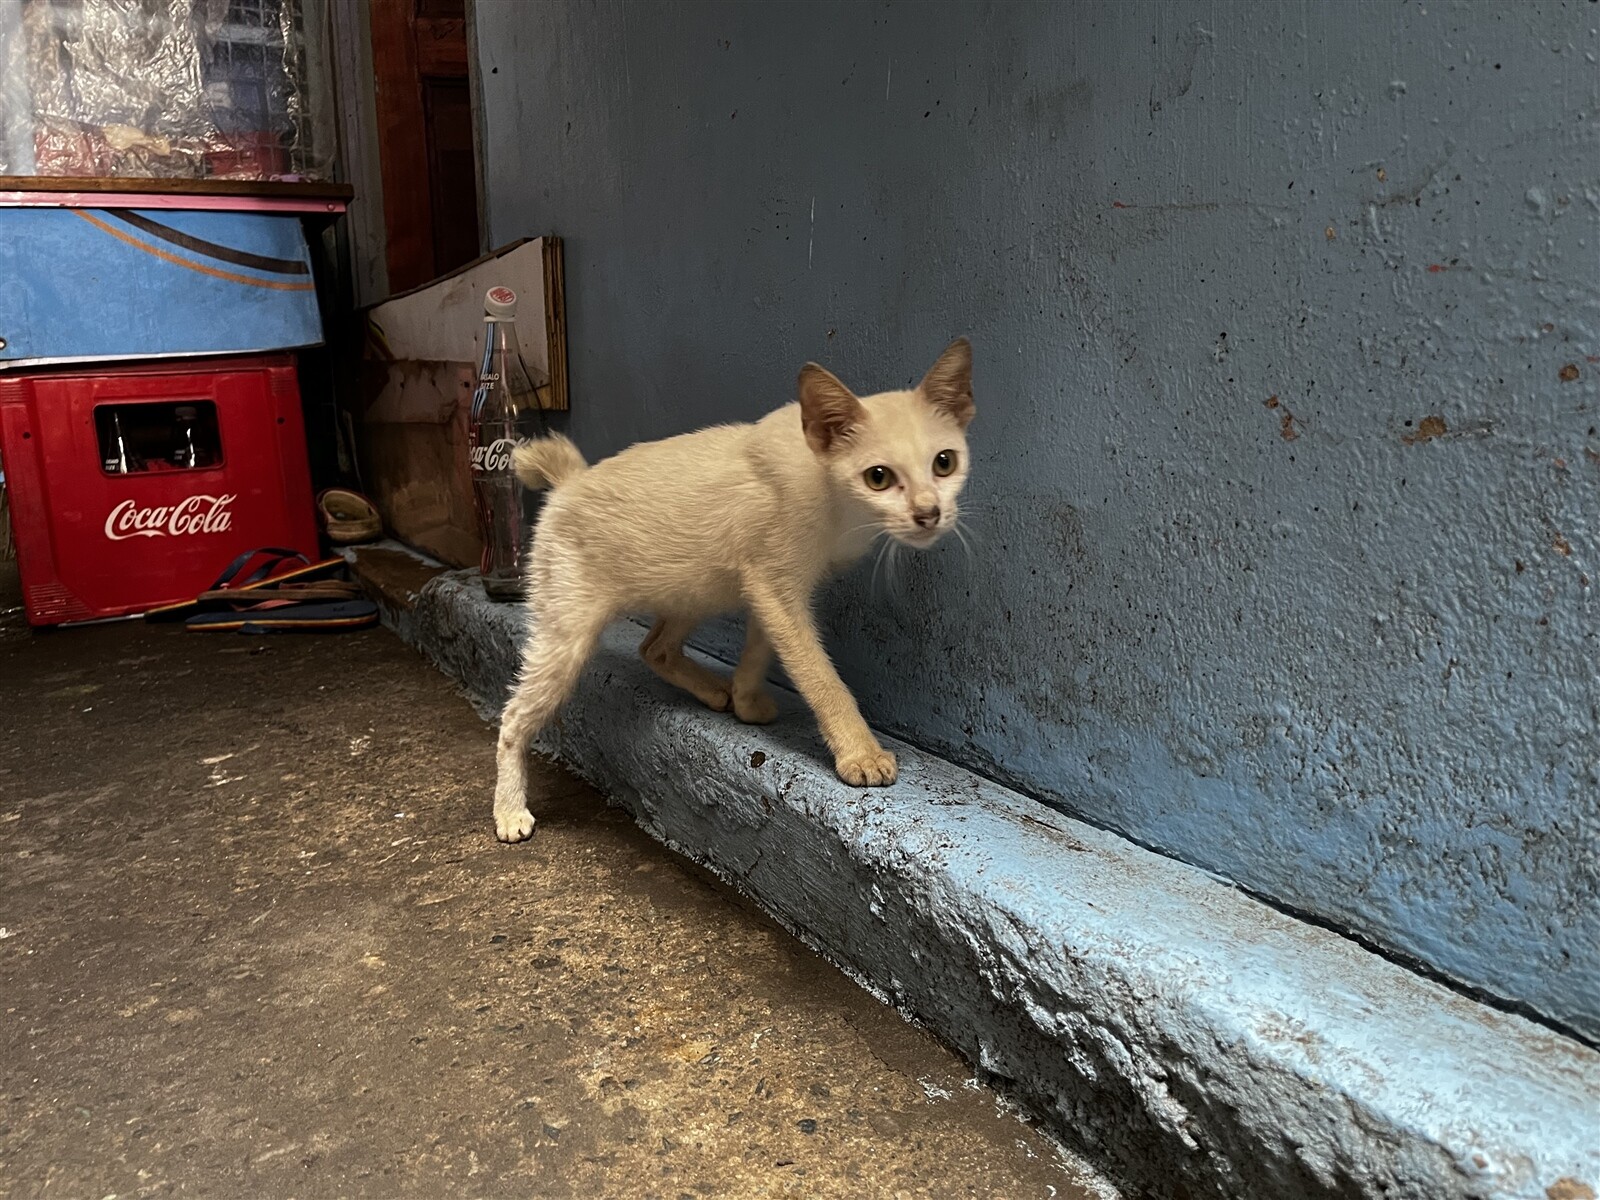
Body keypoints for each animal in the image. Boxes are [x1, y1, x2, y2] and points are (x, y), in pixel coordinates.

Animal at [492, 339, 972, 844]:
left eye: (944, 463)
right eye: (878, 477)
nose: (928, 513)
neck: (835, 498)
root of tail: (571, 480)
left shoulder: (764, 586)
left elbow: (760, 650)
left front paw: (744, 700)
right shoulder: (776, 588)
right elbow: (820, 676)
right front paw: (860, 753)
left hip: (691, 585)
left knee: (654, 648)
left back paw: (712, 691)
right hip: (567, 632)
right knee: (513, 719)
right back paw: (509, 810)